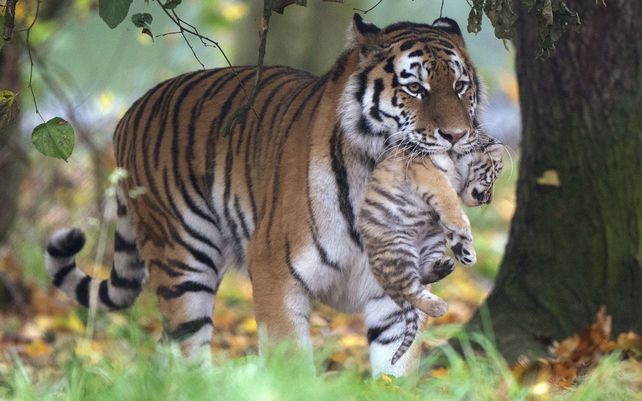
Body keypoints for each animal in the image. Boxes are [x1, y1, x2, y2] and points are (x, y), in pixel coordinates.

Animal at [44, 14, 484, 377]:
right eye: (415, 88)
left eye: (460, 86)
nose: (457, 135)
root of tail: (131, 111)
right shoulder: (276, 271)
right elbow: (293, 366)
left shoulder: (399, 283)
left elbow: (396, 367)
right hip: (182, 260)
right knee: (185, 351)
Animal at [359, 133, 504, 365]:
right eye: (495, 173)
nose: (489, 200)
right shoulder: (426, 172)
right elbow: (448, 199)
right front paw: (463, 228)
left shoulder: (440, 214)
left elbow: (451, 221)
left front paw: (467, 252)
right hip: (398, 248)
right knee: (409, 288)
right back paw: (439, 306)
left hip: (433, 237)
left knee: (420, 276)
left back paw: (443, 266)